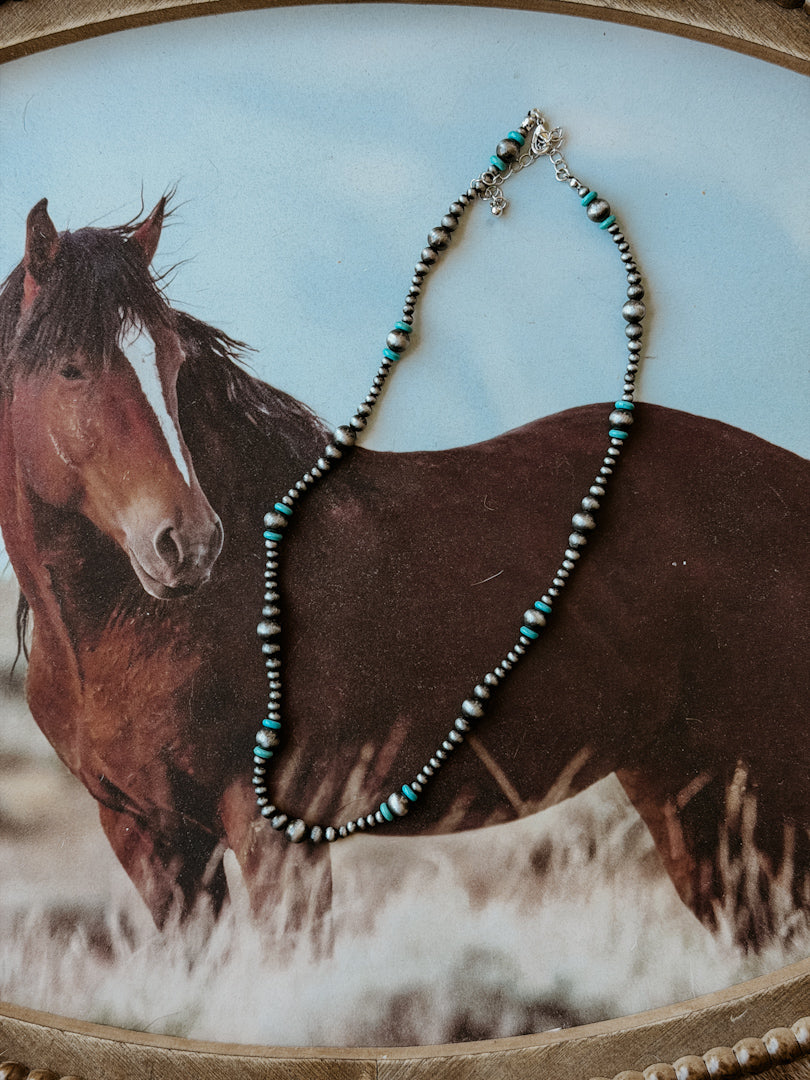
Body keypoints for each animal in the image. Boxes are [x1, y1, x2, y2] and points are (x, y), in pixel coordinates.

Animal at [0, 197, 807, 951]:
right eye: (73, 368)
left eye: (172, 363)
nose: (188, 543)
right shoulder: (154, 842)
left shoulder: (273, 836)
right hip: (691, 797)